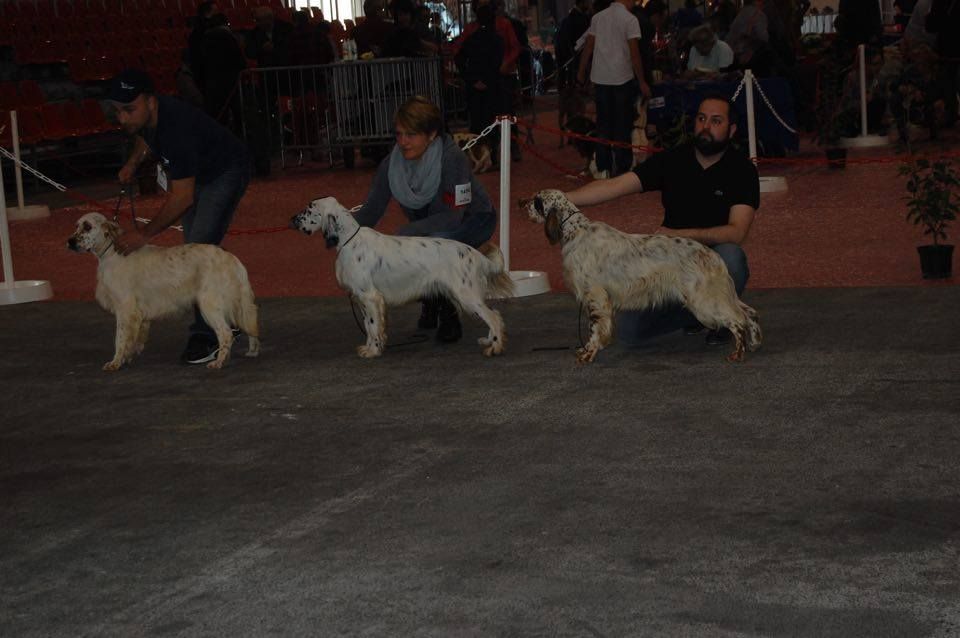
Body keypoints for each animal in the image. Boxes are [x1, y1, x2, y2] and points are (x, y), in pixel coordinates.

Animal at [65, 212, 260, 372]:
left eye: (88, 226)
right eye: (76, 225)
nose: (70, 242)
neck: (111, 253)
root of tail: (231, 258)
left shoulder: (125, 308)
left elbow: (120, 339)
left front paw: (115, 362)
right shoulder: (139, 315)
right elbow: (134, 339)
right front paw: (128, 356)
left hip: (209, 304)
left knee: (226, 333)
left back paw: (218, 362)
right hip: (238, 302)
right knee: (249, 325)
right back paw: (252, 351)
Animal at [520, 190, 760, 364]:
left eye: (536, 201)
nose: (519, 203)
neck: (575, 231)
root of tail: (712, 255)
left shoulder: (595, 295)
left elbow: (594, 329)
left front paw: (588, 353)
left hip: (704, 300)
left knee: (738, 320)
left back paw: (738, 353)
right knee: (750, 313)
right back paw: (755, 342)